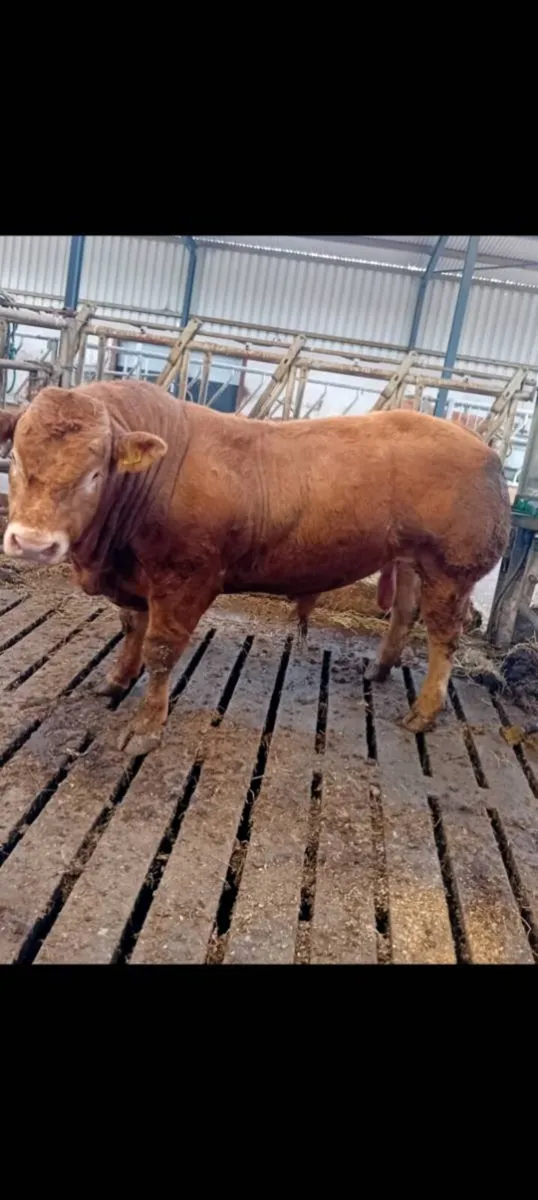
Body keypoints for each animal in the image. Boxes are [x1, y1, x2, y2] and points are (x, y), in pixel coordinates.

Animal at [0, 381, 510, 756]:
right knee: (404, 612)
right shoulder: (134, 577)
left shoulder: (184, 578)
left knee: (443, 637)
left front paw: (145, 727)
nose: (33, 543)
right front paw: (115, 682)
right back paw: (379, 670)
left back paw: (423, 712)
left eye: (94, 474)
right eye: (17, 461)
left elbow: (160, 650)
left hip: (450, 569)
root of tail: (483, 449)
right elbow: (131, 629)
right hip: (407, 560)